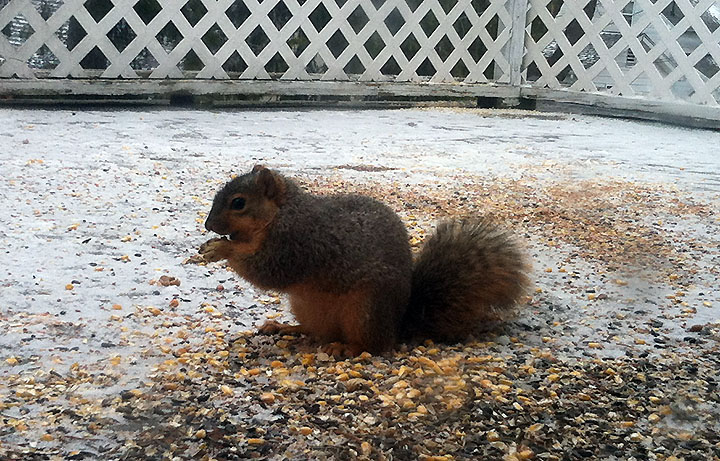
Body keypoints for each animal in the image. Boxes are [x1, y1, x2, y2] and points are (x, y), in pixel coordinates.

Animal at [199, 165, 530, 357]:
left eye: (238, 203)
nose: (208, 225)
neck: (280, 214)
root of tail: (398, 325)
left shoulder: (297, 243)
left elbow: (268, 271)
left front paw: (222, 250)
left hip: (365, 310)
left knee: (374, 347)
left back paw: (347, 347)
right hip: (309, 307)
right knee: (317, 331)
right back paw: (287, 329)